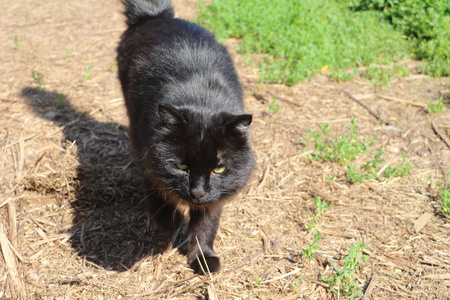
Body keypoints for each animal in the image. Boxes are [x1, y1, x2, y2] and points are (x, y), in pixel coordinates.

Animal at [118, 0, 255, 274]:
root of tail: (156, 16)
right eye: (181, 166)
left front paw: (203, 258)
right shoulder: (151, 165)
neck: (202, 98)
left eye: (219, 169)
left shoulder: (216, 197)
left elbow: (205, 226)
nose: (198, 193)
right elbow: (163, 209)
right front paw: (178, 224)